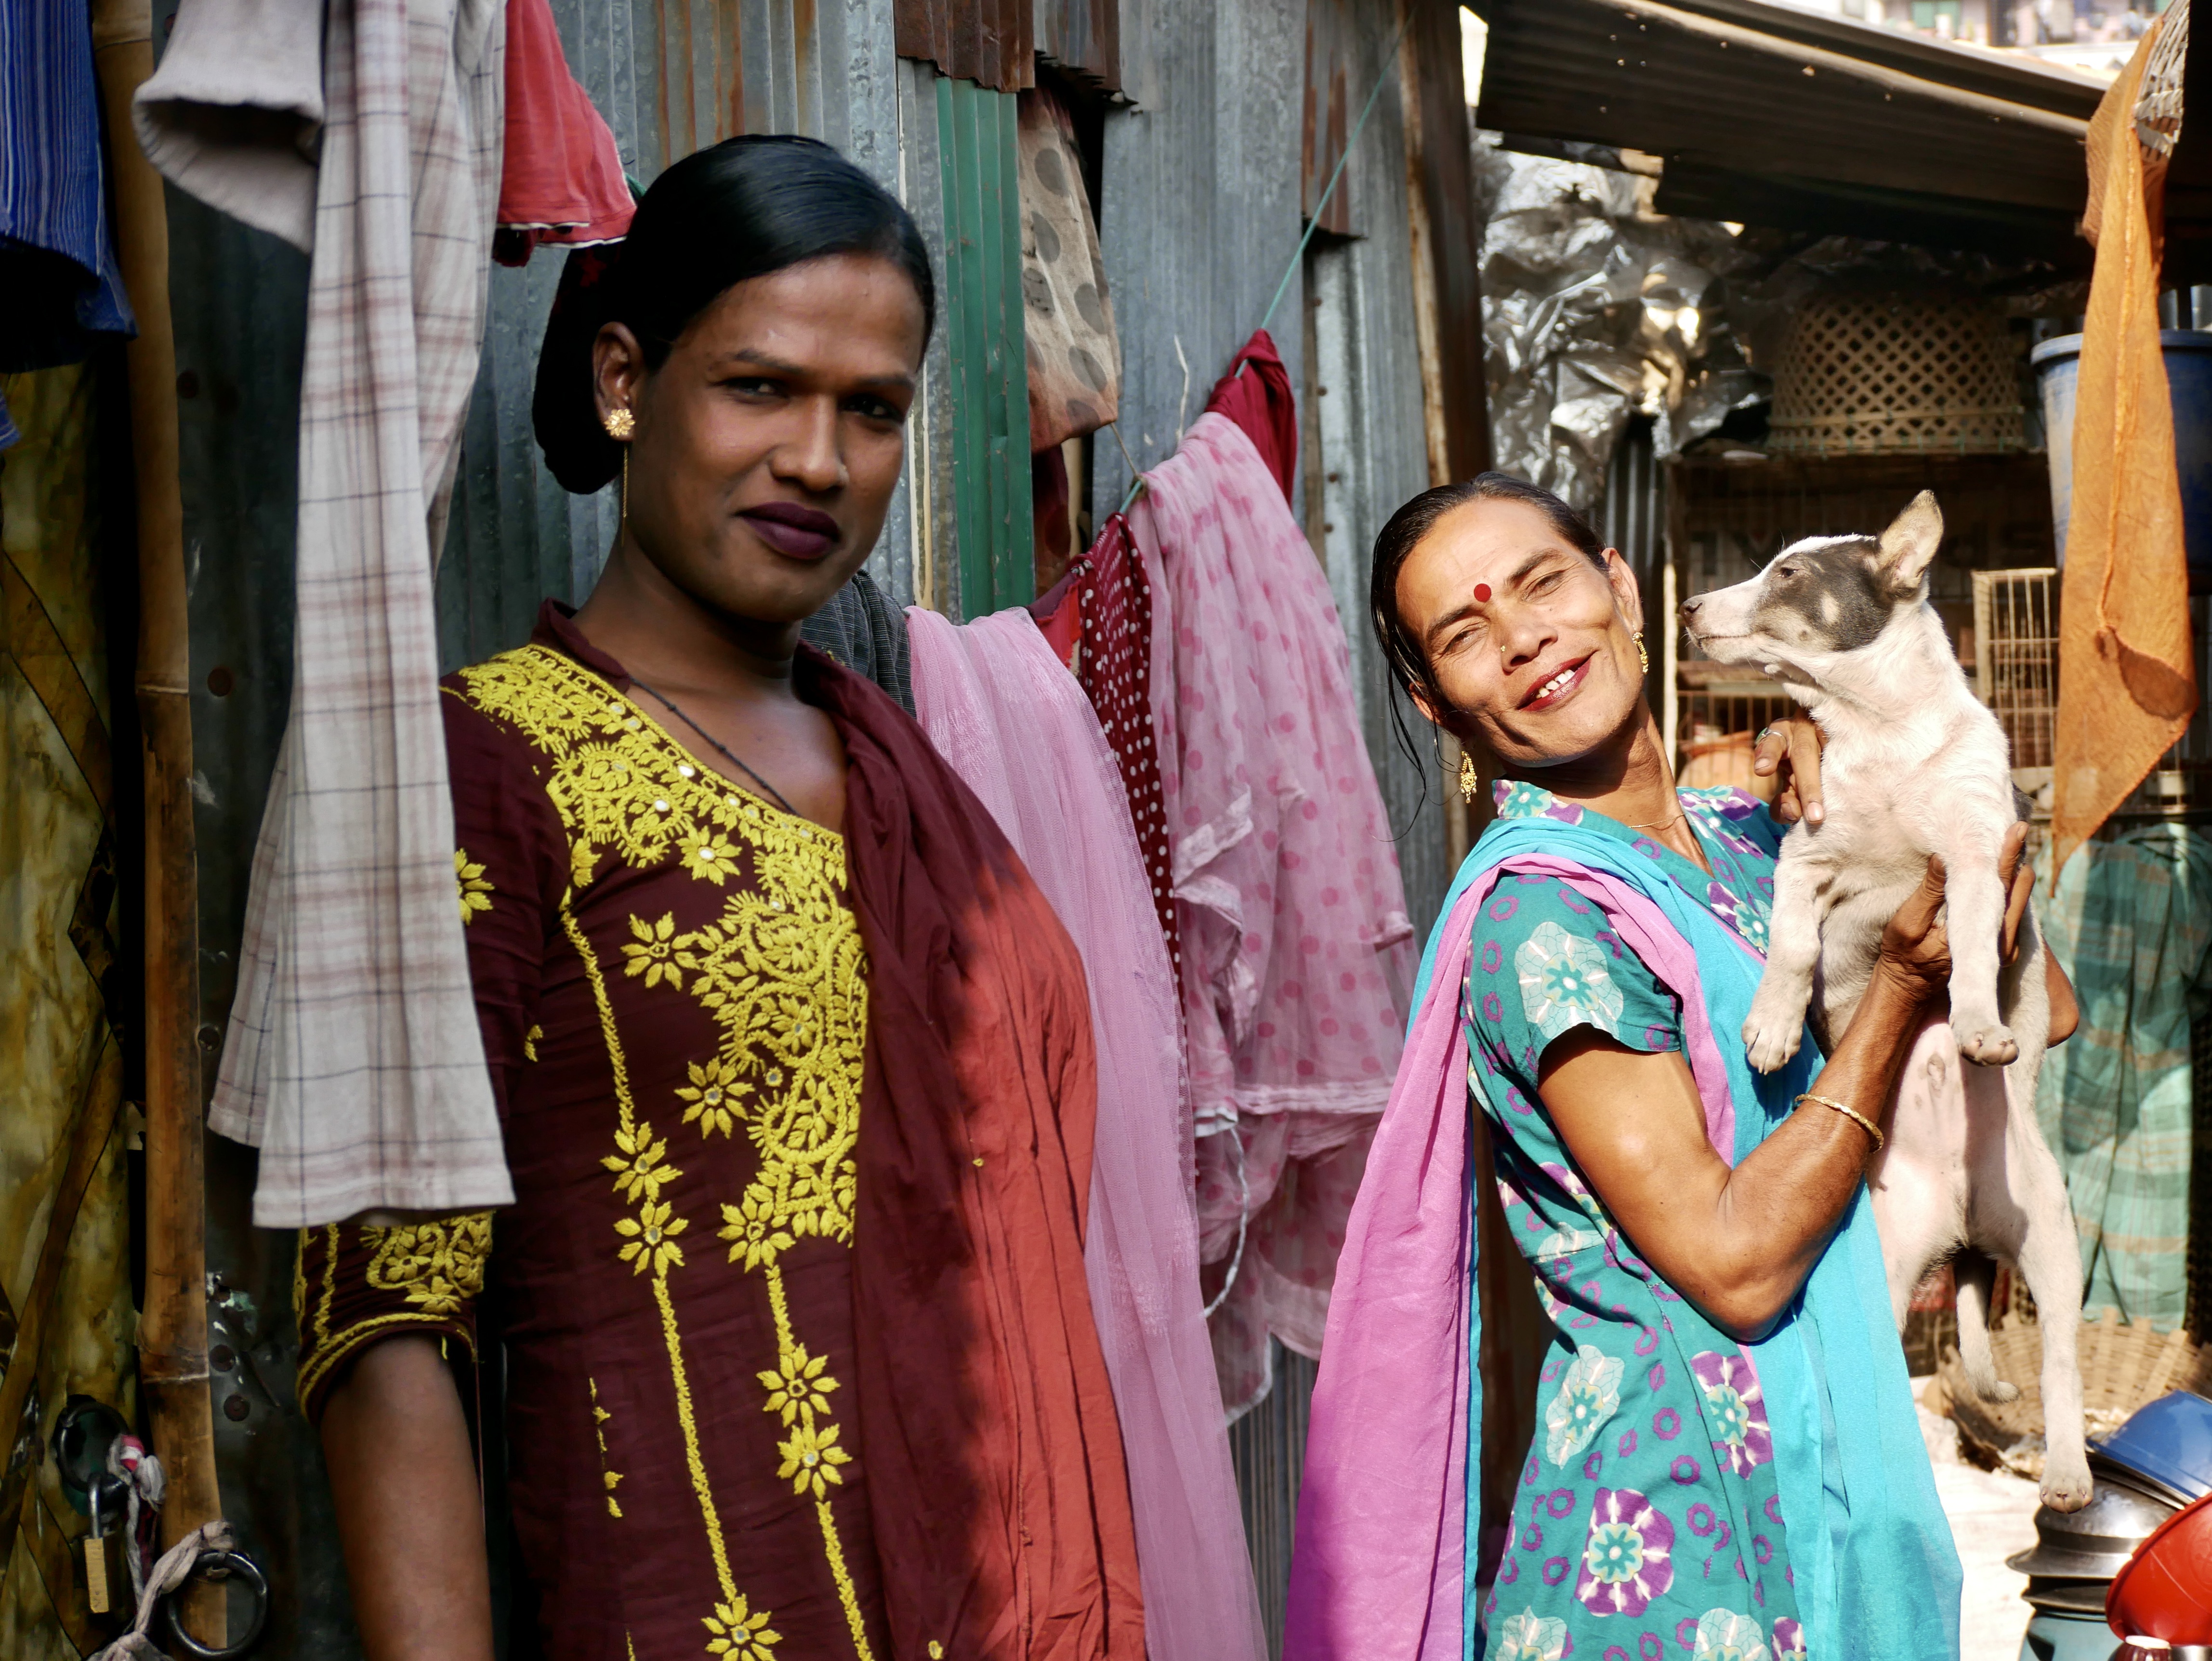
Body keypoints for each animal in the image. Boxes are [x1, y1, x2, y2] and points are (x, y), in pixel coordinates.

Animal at [1681, 491, 2079, 1504]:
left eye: (1788, 573)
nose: (1692, 606)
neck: (1881, 732)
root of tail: (1966, 1223)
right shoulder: (1807, 857)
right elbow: (1790, 945)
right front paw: (1772, 1027)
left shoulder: (1978, 864)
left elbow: (1972, 959)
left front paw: (1976, 1026)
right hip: (1896, 1264)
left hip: (2051, 1241)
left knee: (2059, 1364)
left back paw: (2065, 1472)